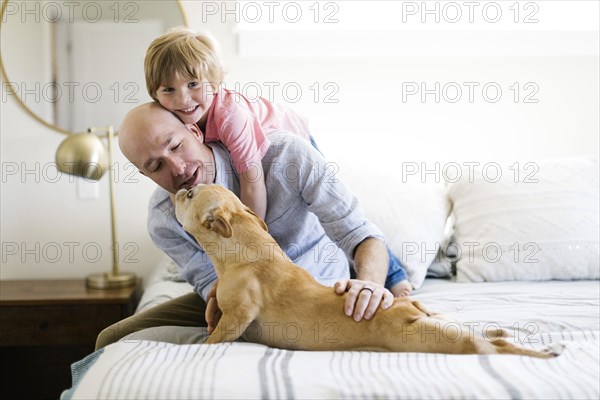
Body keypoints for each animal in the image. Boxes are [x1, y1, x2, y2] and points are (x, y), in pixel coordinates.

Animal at [176, 184, 560, 356]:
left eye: (191, 195)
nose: (180, 187)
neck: (247, 245)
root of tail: (406, 305)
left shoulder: (237, 315)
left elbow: (217, 335)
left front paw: (202, 343)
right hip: (439, 323)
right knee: (484, 333)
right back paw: (509, 334)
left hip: (433, 340)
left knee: (486, 347)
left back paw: (537, 353)